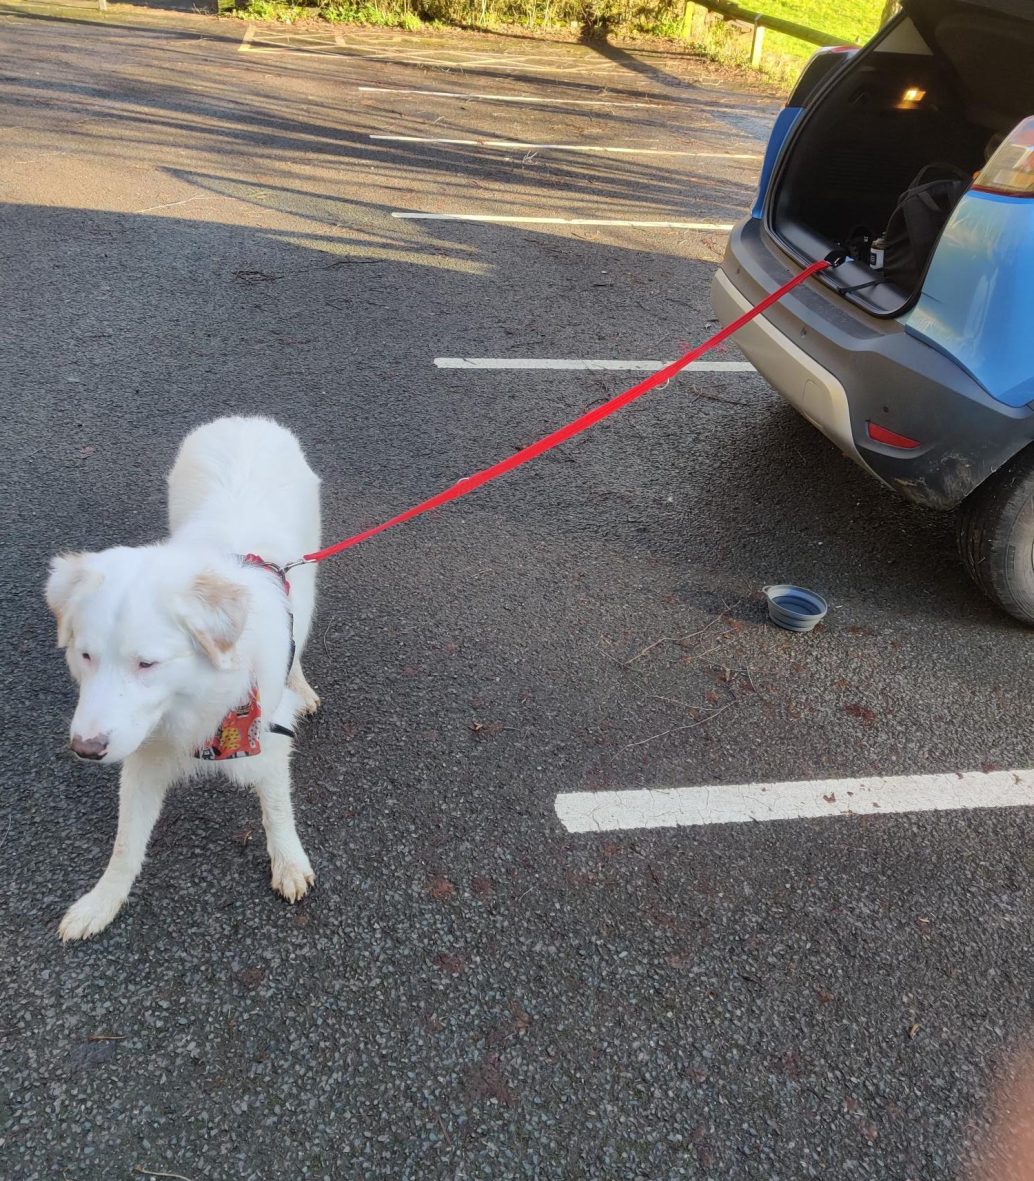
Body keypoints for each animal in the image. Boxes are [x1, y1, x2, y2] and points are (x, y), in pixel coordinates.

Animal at [45, 415, 318, 940]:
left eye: (147, 664)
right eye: (86, 656)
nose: (85, 750)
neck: (194, 706)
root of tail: (245, 418)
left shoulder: (268, 739)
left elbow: (277, 809)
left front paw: (289, 863)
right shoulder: (141, 752)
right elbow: (125, 844)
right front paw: (101, 902)